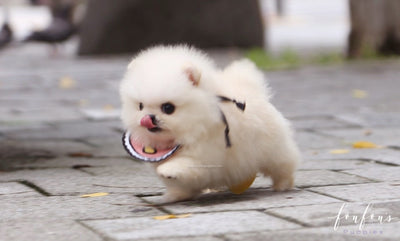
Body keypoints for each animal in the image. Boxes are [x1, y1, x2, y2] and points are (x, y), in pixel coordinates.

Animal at [120, 45, 302, 203]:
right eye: (140, 106)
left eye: (168, 108)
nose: (147, 118)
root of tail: (252, 90)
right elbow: (182, 184)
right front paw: (176, 195)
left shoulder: (206, 155)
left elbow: (186, 163)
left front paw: (168, 169)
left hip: (273, 151)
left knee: (283, 166)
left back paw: (282, 185)